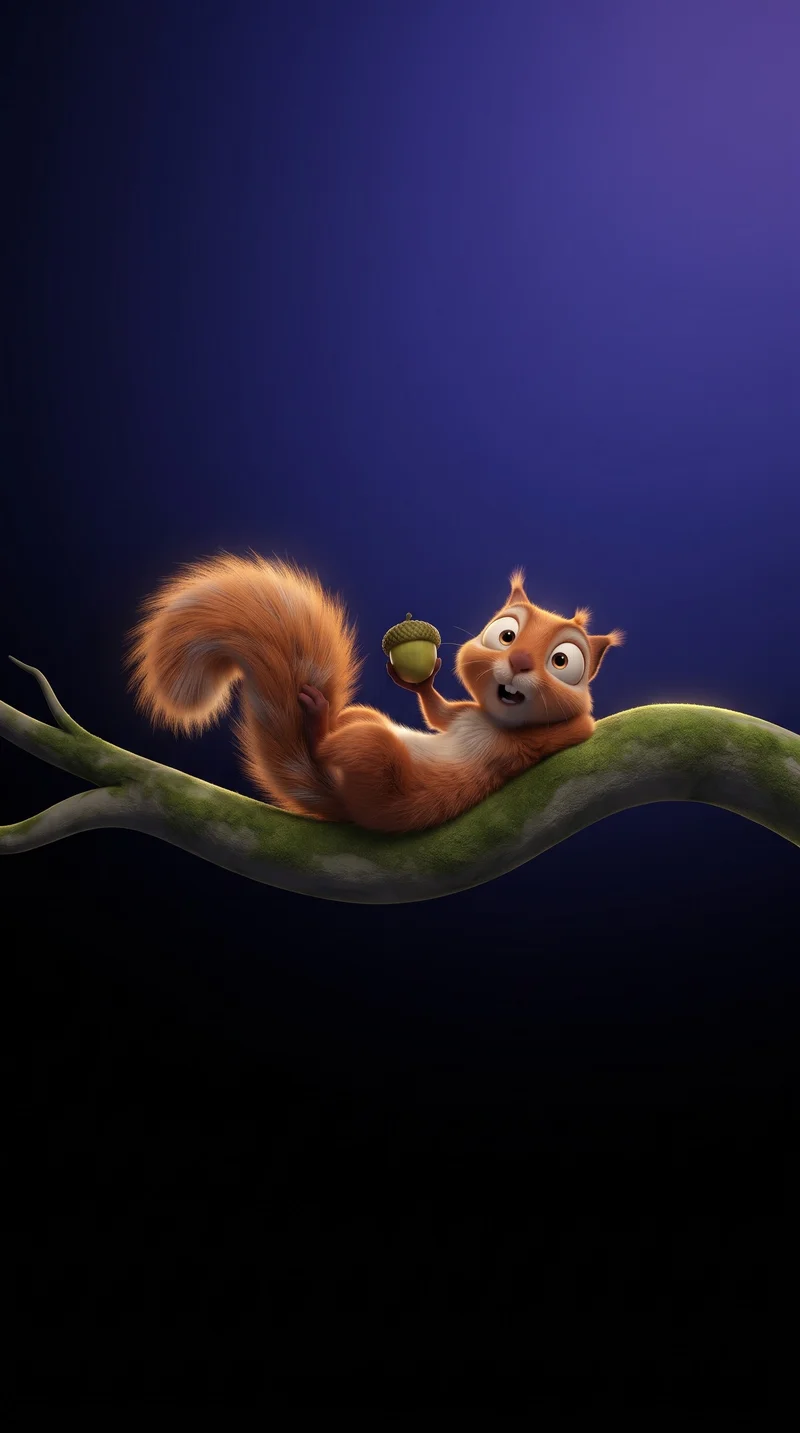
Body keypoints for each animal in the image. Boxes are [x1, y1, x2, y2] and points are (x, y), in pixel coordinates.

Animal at [126, 553, 624, 833]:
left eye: (562, 662)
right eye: (505, 634)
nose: (519, 662)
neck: (493, 719)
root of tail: (343, 803)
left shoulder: (543, 740)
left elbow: (575, 730)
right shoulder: (465, 713)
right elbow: (440, 717)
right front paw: (420, 679)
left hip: (376, 760)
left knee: (331, 747)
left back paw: (317, 723)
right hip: (366, 721)